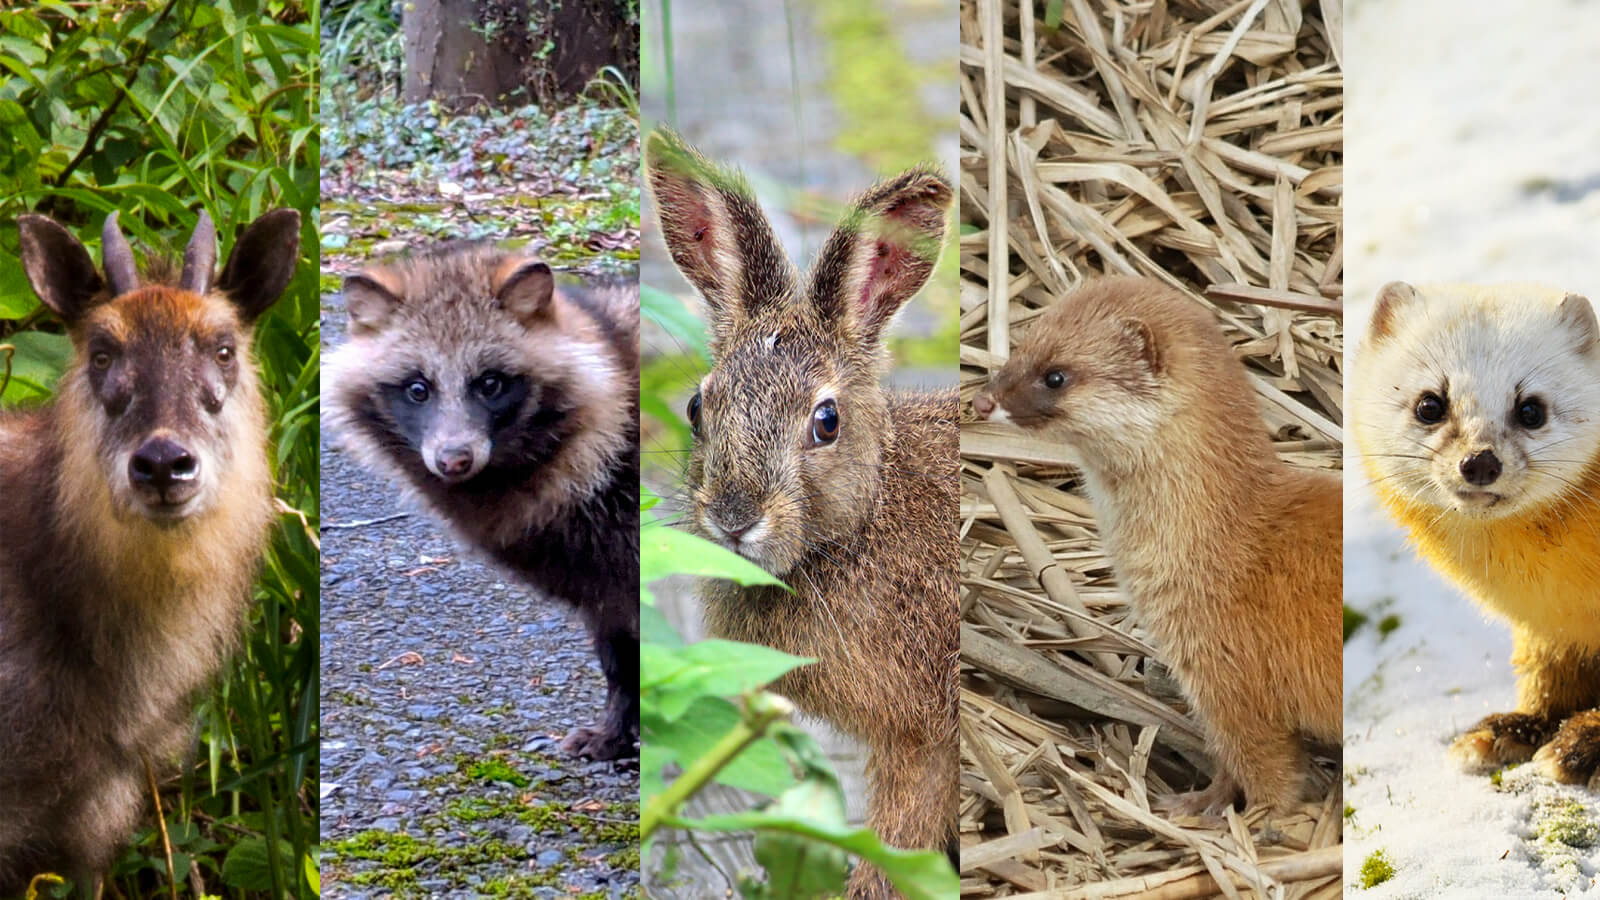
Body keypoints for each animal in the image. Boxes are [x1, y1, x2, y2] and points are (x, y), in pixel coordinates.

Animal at [321, 243, 640, 755]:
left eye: (490, 383)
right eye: (418, 388)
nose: (454, 459)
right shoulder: (600, 574)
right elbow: (618, 645)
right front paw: (618, 720)